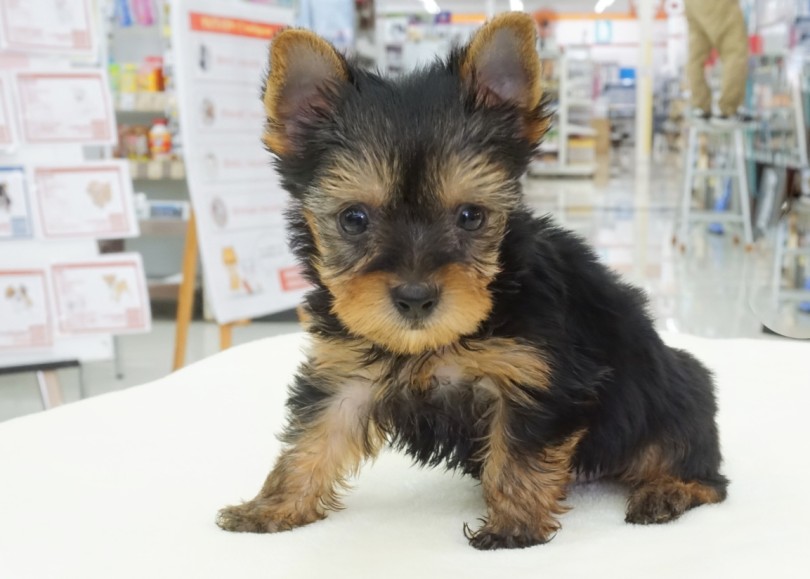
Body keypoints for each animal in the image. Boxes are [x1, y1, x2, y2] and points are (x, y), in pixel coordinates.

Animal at [215, 11, 724, 552]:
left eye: (470, 216)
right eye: (354, 219)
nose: (415, 298)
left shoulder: (536, 376)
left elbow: (517, 456)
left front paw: (513, 527)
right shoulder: (345, 370)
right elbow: (314, 436)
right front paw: (271, 507)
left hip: (676, 395)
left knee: (700, 470)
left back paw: (667, 489)